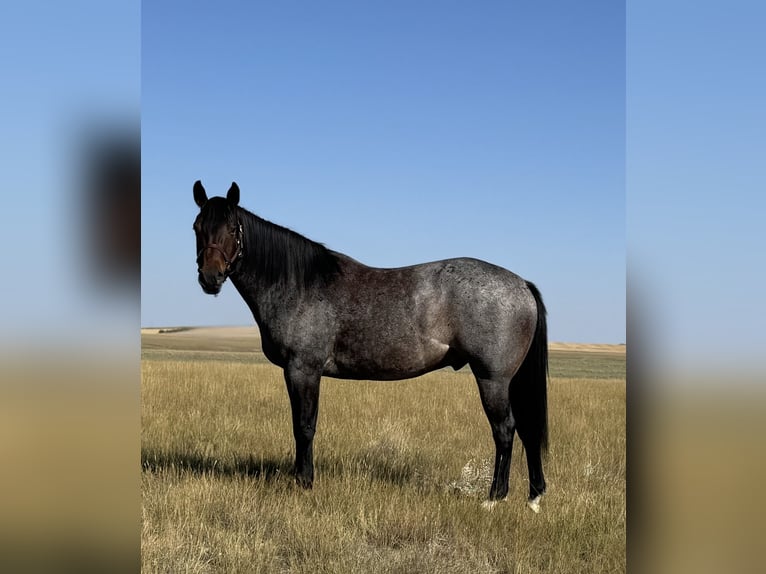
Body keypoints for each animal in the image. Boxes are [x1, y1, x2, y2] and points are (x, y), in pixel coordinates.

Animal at [192, 180, 549, 511]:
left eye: (232, 229)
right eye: (197, 227)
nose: (210, 278)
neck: (299, 285)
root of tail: (522, 284)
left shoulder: (302, 370)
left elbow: (304, 426)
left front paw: (304, 482)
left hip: (493, 379)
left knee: (505, 430)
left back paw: (495, 498)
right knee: (527, 430)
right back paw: (533, 497)